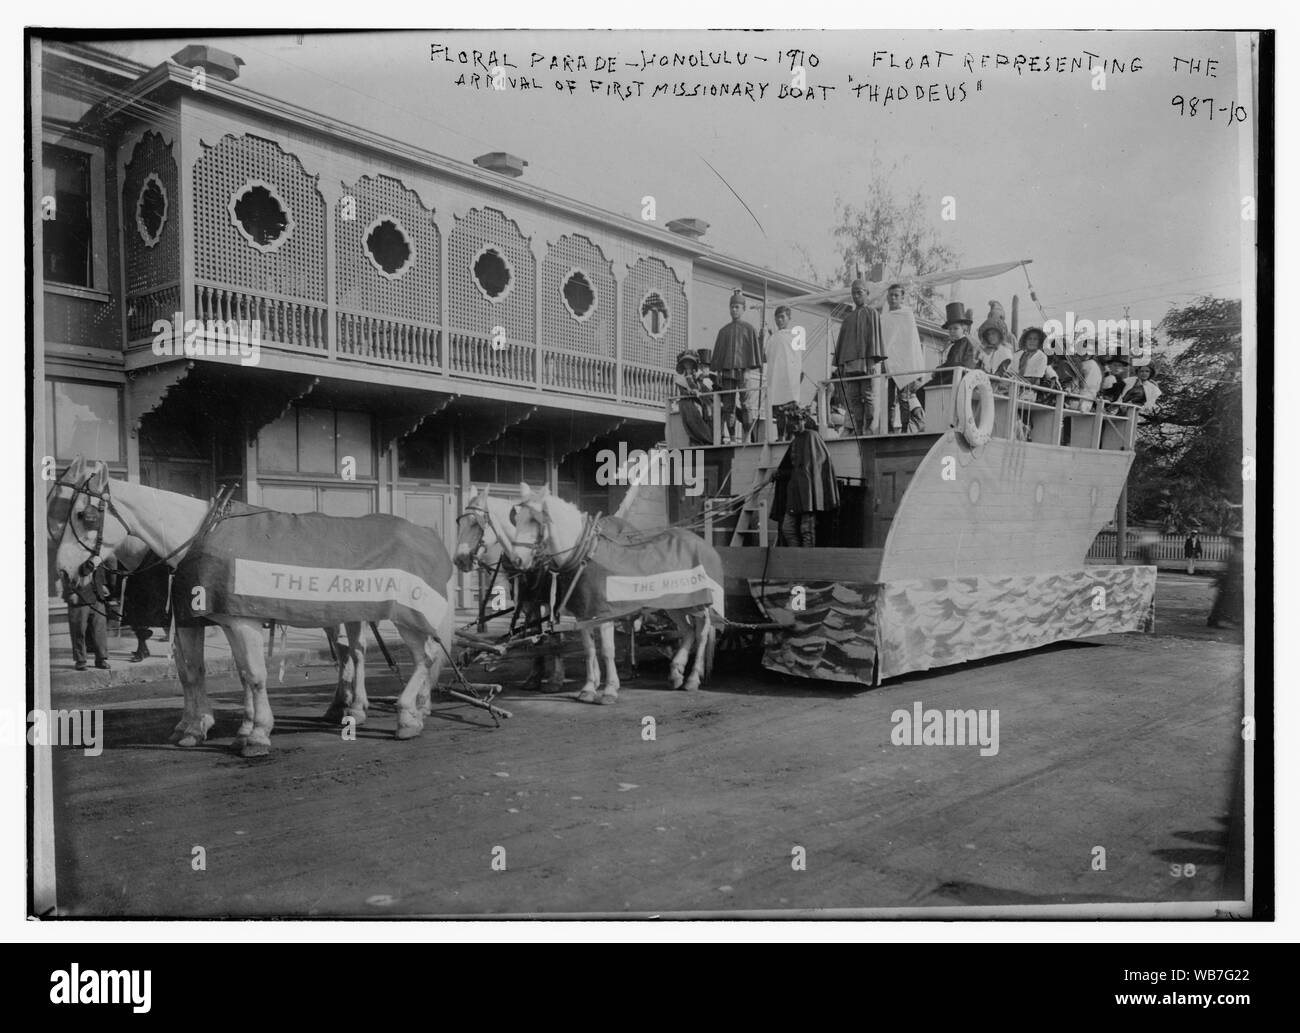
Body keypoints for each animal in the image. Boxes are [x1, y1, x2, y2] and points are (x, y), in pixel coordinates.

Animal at [49, 457, 457, 753]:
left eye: (85, 515)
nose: (65, 573)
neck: (201, 534)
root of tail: (428, 535)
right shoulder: (206, 620)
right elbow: (200, 673)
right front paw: (200, 727)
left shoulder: (241, 621)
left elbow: (253, 675)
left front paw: (256, 734)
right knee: (379, 654)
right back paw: (396, 710)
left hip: (407, 616)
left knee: (419, 657)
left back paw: (405, 715)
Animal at [504, 485, 722, 701]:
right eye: (517, 518)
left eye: (534, 520)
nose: (517, 560)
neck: (586, 556)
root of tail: (702, 542)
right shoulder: (584, 615)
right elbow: (589, 650)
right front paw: (588, 689)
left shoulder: (604, 615)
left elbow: (607, 651)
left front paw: (609, 690)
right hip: (675, 605)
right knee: (688, 631)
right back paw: (676, 673)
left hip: (698, 603)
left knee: (702, 632)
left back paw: (693, 678)